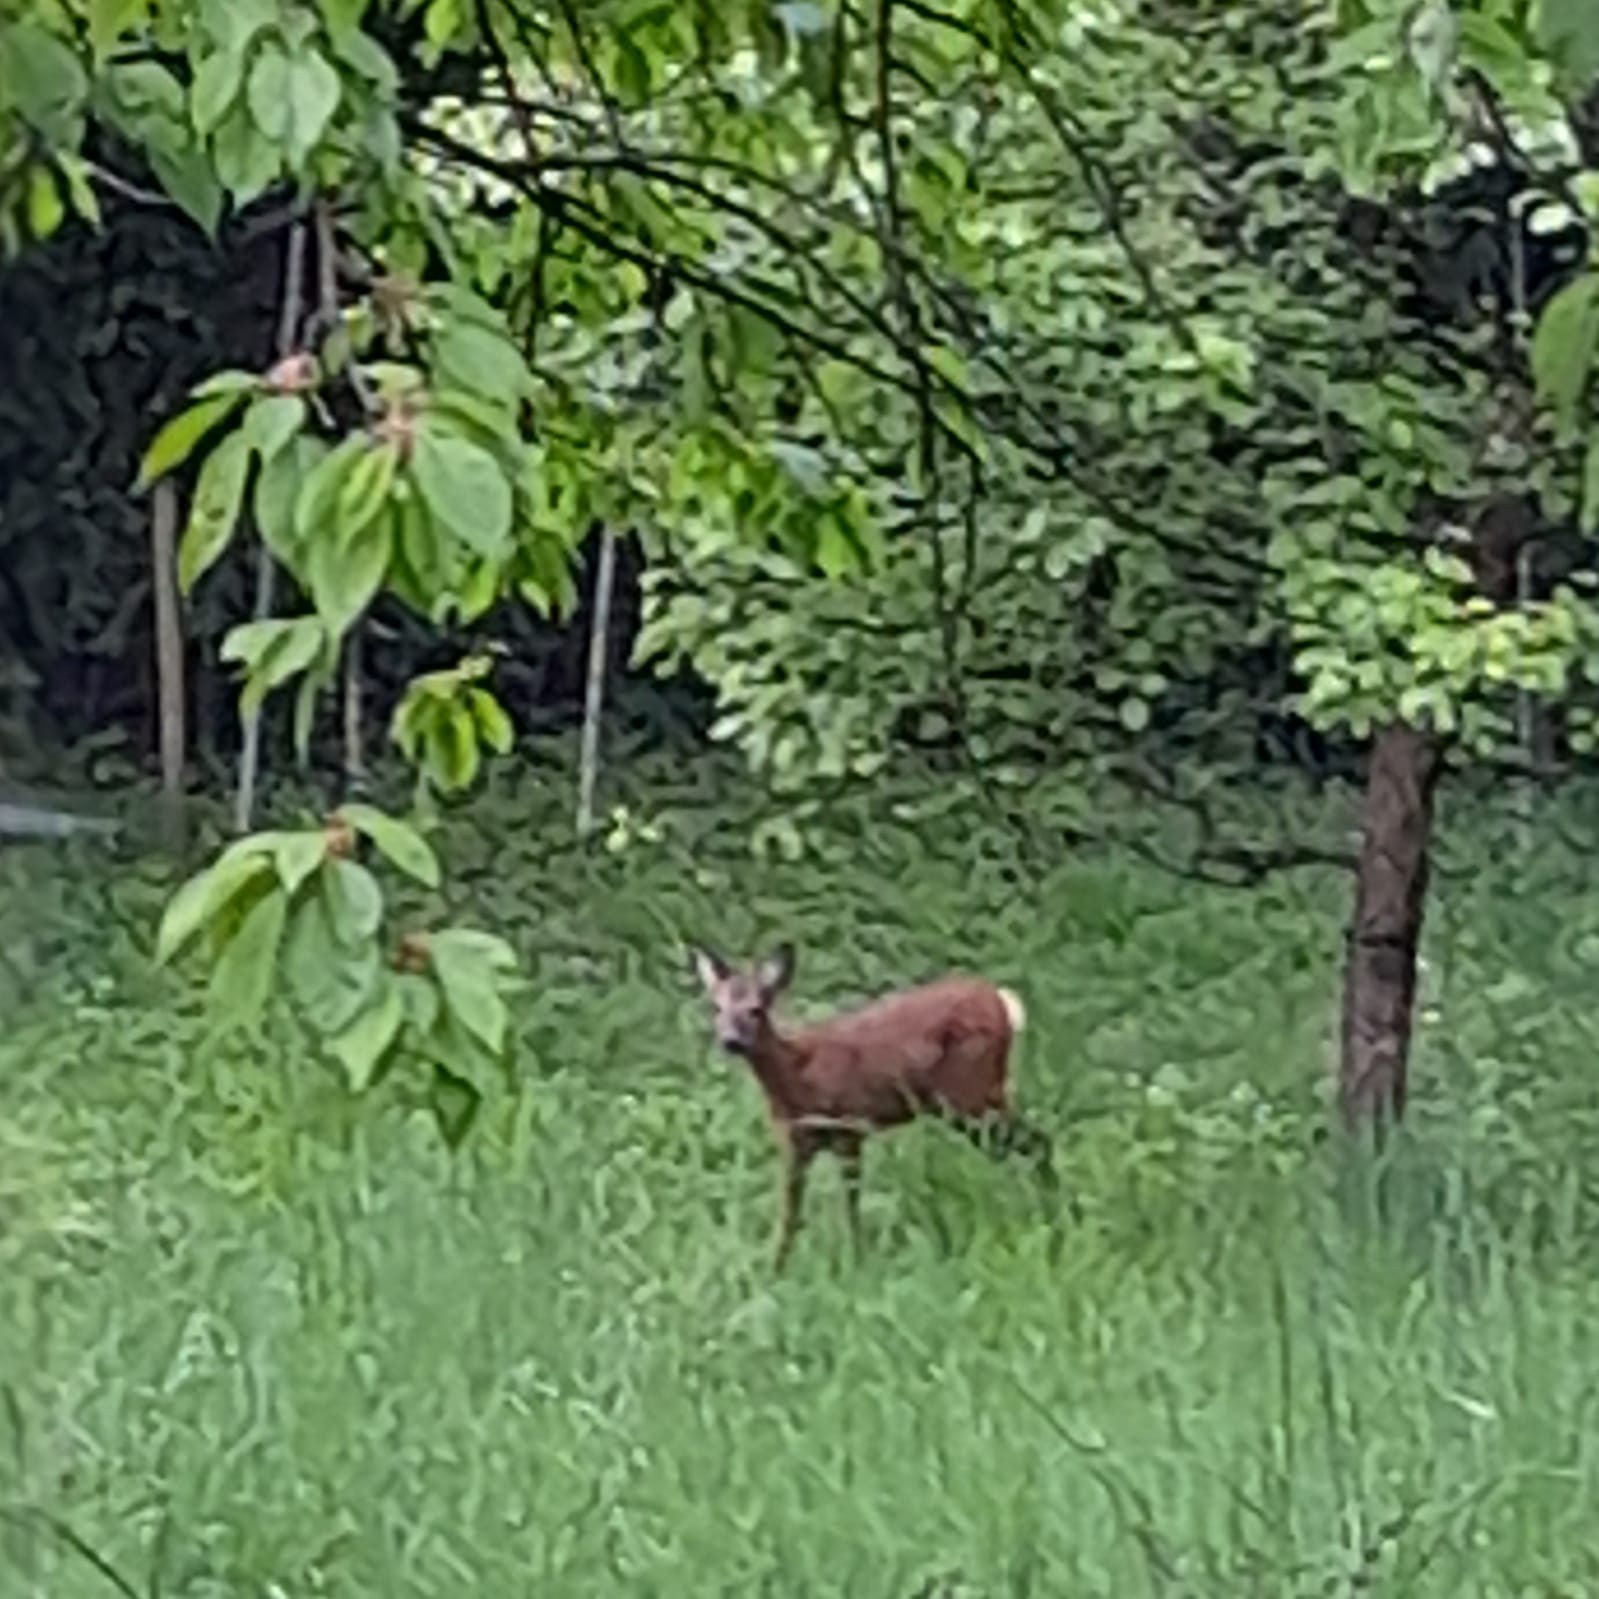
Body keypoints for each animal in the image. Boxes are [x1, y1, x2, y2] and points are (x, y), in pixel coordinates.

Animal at [689, 942, 1054, 1270]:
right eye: (716, 1008)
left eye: (756, 1009)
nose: (731, 1041)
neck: (798, 1079)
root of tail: (1001, 999)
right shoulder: (796, 1143)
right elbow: (790, 1216)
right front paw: (775, 1274)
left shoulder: (849, 1128)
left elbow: (851, 1206)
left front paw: (857, 1263)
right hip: (966, 1105)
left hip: (972, 1094)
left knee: (1039, 1139)